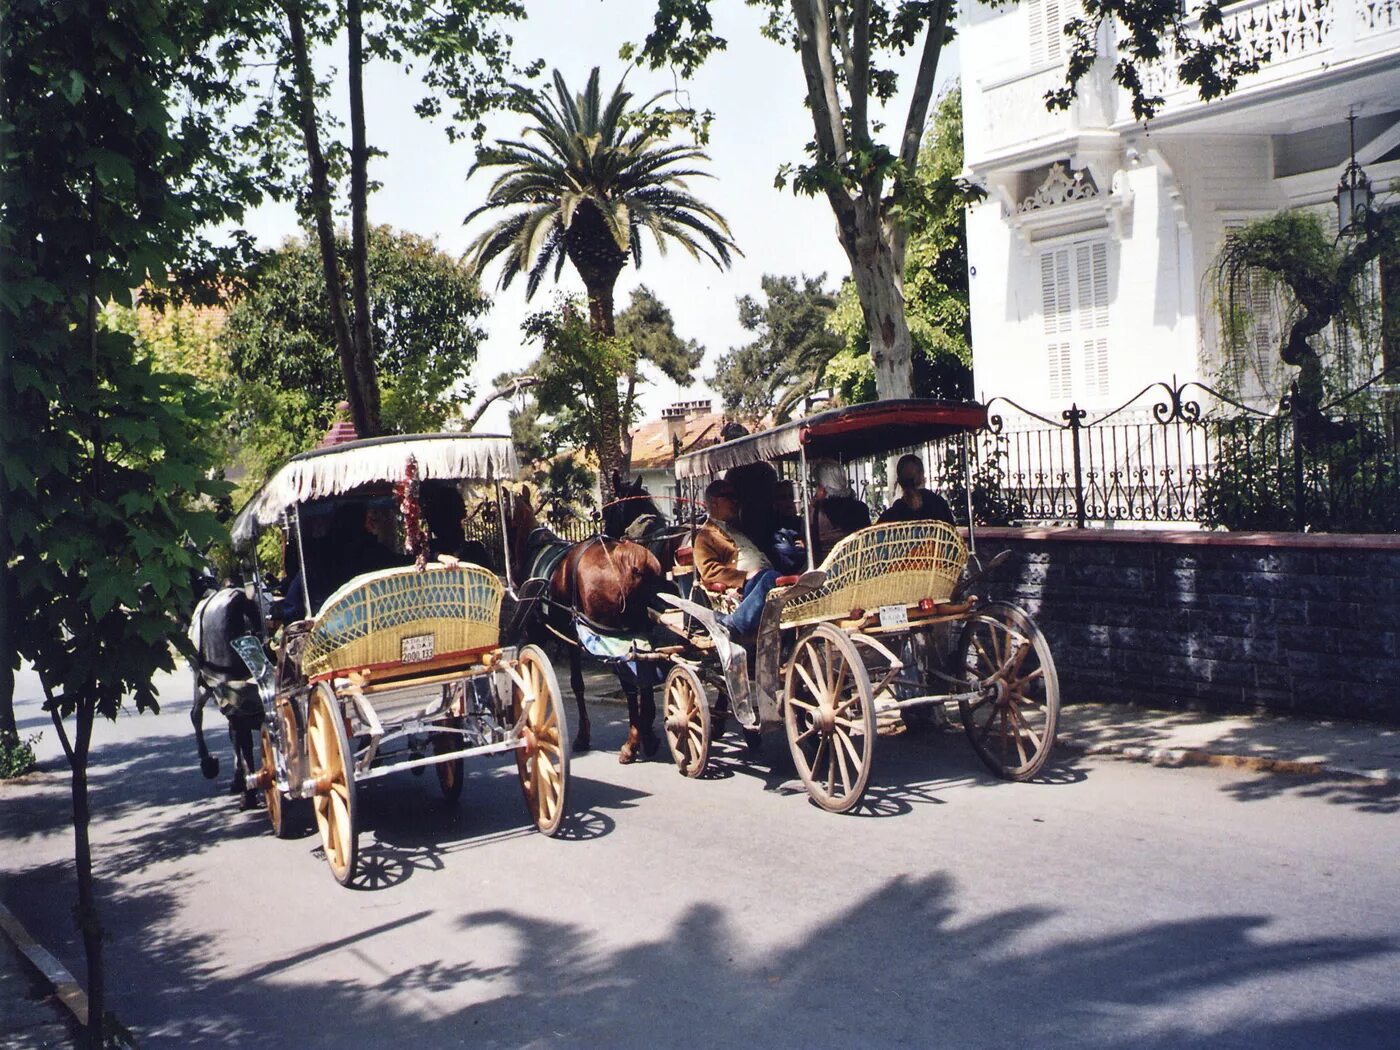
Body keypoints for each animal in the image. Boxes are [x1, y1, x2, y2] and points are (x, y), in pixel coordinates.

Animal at [504, 484, 666, 767]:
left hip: (615, 639)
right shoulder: (572, 637)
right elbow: (579, 683)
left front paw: (578, 735)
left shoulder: (540, 632)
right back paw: (647, 737)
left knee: (630, 685)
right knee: (644, 679)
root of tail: (630, 558)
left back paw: (631, 743)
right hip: (640, 634)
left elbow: (555, 679)